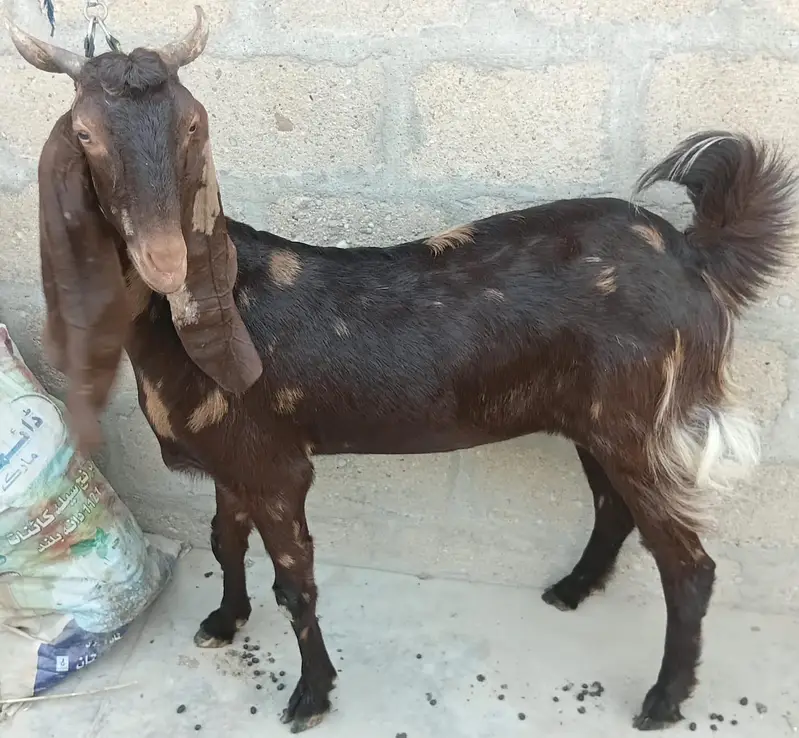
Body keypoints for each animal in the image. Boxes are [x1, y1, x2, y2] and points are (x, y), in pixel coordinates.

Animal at [7, 6, 798, 733]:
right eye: (85, 134)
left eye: (192, 128)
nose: (165, 262)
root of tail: (692, 255)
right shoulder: (233, 460)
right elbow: (223, 541)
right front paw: (224, 621)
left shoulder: (276, 467)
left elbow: (295, 585)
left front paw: (311, 695)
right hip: (599, 422)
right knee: (613, 509)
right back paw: (572, 590)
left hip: (640, 422)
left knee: (687, 565)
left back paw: (663, 699)